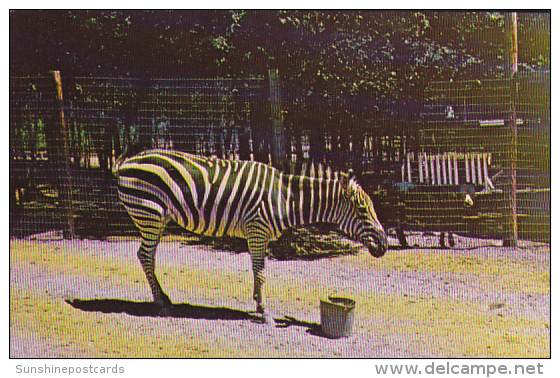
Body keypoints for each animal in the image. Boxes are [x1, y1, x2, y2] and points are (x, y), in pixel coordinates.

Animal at [111, 149, 388, 320]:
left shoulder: (260, 234)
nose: (385, 245)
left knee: (146, 255)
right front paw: (263, 309)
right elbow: (260, 270)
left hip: (155, 219)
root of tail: (128, 161)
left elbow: (259, 269)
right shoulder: (257, 229)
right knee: (145, 256)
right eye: (363, 209)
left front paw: (258, 302)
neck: (286, 199)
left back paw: (164, 298)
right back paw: (161, 302)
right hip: (149, 214)